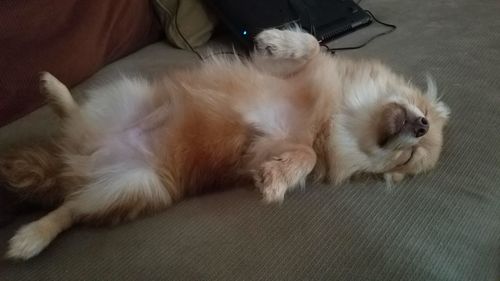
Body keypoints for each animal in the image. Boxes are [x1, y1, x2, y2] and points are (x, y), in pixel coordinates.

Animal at [0, 27, 450, 258]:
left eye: (408, 158)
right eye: (422, 113)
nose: (422, 126)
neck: (335, 116)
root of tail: (73, 159)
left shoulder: (263, 150)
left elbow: (303, 154)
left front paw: (277, 179)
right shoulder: (281, 73)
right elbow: (309, 45)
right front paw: (278, 39)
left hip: (130, 186)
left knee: (71, 209)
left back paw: (30, 237)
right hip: (124, 94)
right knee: (73, 116)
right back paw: (55, 90)